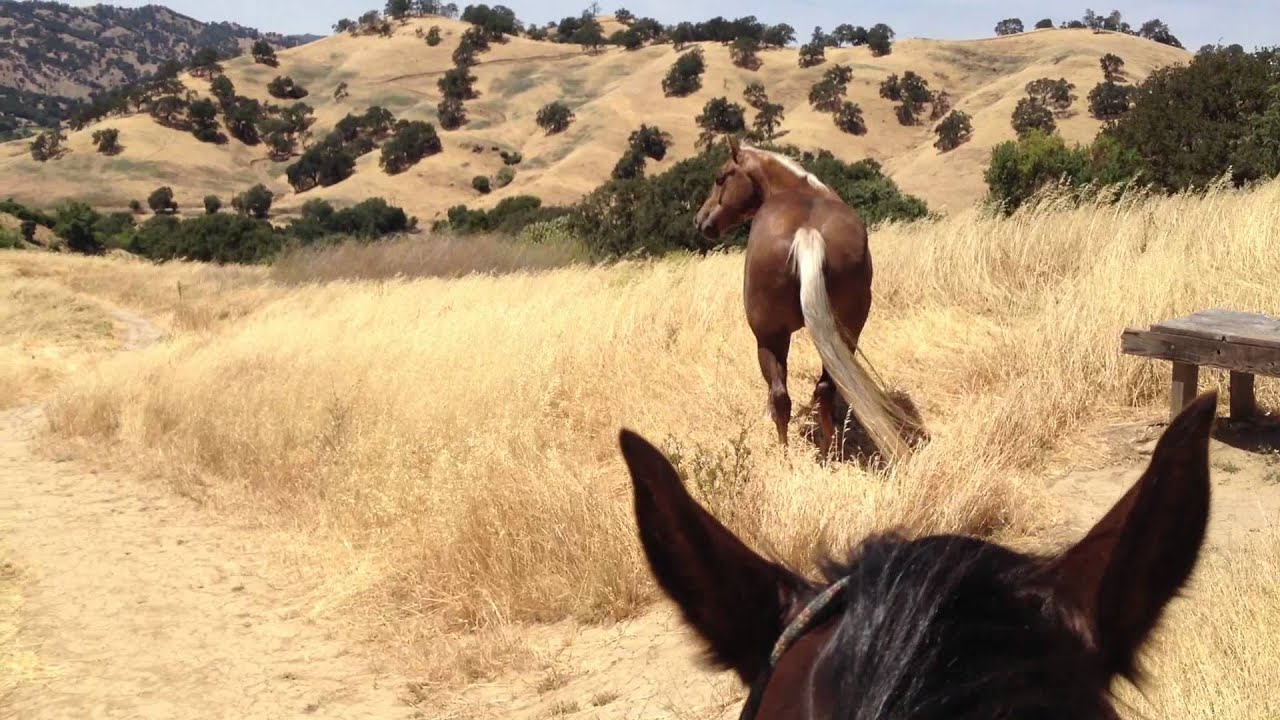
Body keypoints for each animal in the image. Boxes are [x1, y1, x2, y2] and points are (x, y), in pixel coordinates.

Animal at [693, 136, 916, 462]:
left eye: (720, 178)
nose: (700, 221)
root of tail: (807, 232)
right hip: (847, 332)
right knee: (825, 387)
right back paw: (827, 447)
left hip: (769, 338)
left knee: (780, 395)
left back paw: (785, 455)